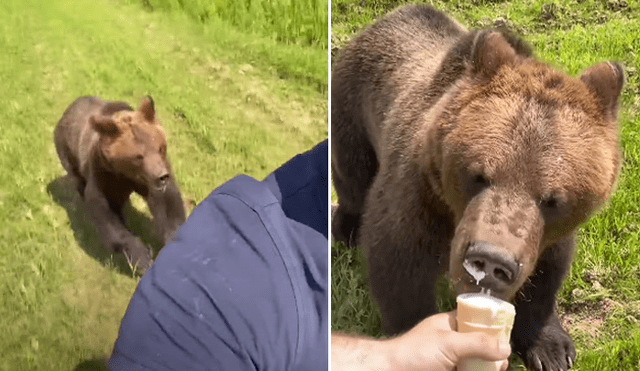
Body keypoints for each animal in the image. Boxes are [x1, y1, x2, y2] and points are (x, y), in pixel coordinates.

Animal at [54, 96, 186, 274]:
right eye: (138, 156)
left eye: (160, 147)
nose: (162, 176)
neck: (127, 174)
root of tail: (68, 109)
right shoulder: (104, 174)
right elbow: (106, 213)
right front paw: (142, 258)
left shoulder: (149, 178)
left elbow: (167, 204)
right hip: (67, 151)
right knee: (78, 179)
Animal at [332, 4, 624, 370]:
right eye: (478, 176)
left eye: (552, 199)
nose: (491, 258)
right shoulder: (418, 196)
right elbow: (399, 268)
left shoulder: (547, 234)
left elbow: (547, 273)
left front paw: (551, 349)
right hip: (353, 113)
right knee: (352, 178)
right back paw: (345, 229)